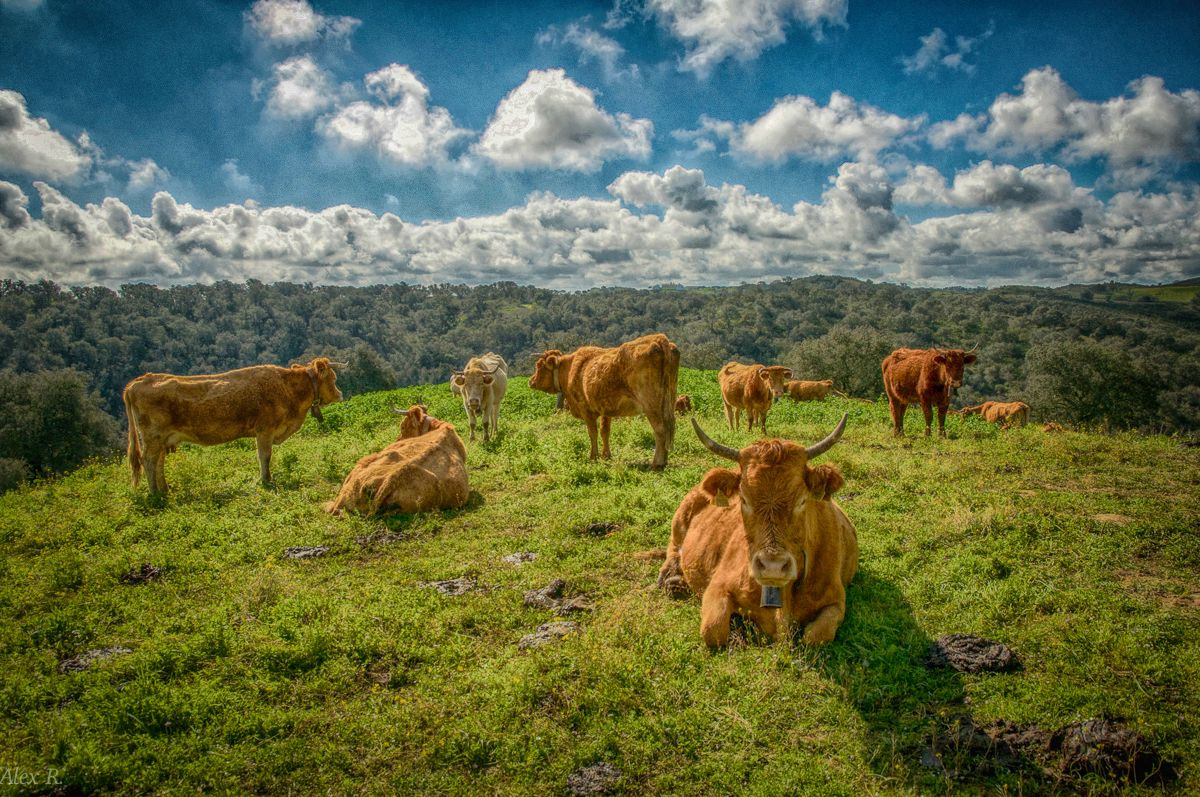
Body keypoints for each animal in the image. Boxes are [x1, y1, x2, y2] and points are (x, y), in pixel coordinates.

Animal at [123, 357, 343, 496]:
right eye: (333, 378)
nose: (340, 394)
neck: (288, 388)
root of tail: (139, 381)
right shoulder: (265, 430)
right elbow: (264, 456)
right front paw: (266, 480)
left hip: (161, 439)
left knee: (158, 462)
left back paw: (165, 490)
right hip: (152, 436)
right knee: (148, 461)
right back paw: (155, 494)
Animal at [529, 333, 680, 470]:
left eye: (539, 365)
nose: (531, 381)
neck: (570, 369)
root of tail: (658, 338)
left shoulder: (586, 410)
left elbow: (592, 433)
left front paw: (593, 457)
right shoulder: (606, 409)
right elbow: (604, 431)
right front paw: (606, 456)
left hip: (651, 405)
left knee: (660, 430)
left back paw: (657, 463)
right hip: (669, 399)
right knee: (669, 428)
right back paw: (664, 460)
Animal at [657, 414, 856, 647]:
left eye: (802, 500)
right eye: (743, 499)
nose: (773, 566)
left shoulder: (837, 601)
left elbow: (815, 636)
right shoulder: (717, 587)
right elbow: (713, 630)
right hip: (680, 520)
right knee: (673, 548)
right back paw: (671, 579)